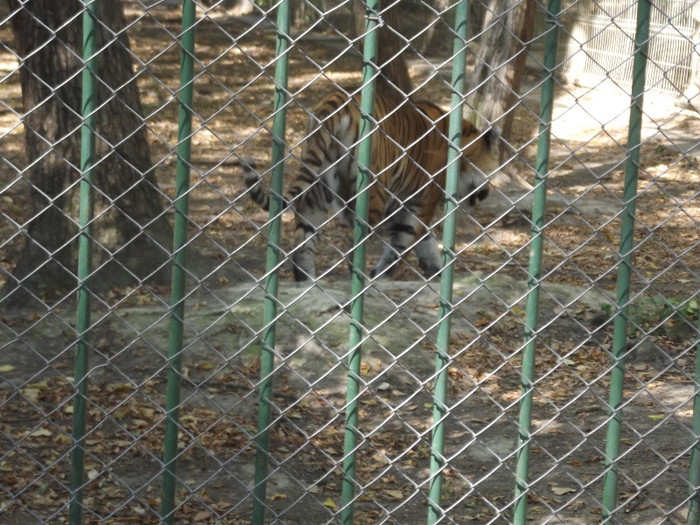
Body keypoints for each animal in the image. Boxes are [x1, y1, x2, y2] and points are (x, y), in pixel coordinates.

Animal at [243, 90, 500, 280]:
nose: (487, 194)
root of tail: (335, 102)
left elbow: (423, 241)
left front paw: (434, 268)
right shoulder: (419, 205)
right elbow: (402, 245)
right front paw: (382, 275)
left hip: (317, 188)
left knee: (303, 244)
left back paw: (306, 283)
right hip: (370, 196)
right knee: (354, 246)